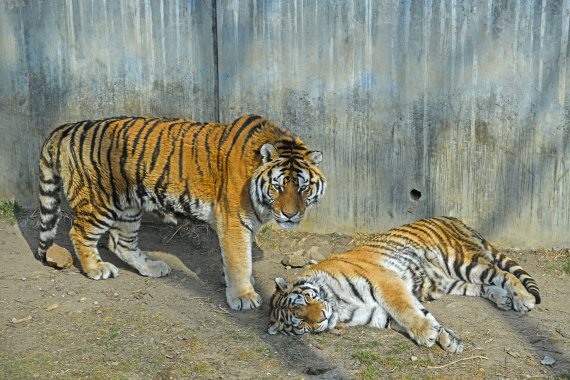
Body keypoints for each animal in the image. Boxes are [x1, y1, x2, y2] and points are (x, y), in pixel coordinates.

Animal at [36, 114, 324, 310]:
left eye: (303, 187)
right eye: (277, 187)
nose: (290, 215)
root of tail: (70, 126)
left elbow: (238, 257)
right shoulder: (233, 219)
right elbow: (240, 259)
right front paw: (243, 295)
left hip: (129, 206)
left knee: (120, 242)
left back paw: (151, 267)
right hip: (99, 201)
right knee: (79, 233)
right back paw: (96, 269)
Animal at [268, 217, 540, 354]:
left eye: (306, 299)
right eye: (300, 323)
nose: (322, 317)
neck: (341, 307)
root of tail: (452, 217)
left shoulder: (385, 281)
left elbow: (406, 310)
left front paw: (427, 333)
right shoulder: (380, 315)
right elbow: (424, 316)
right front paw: (447, 339)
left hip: (461, 259)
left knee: (502, 273)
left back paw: (522, 299)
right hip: (447, 281)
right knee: (482, 285)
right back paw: (502, 298)